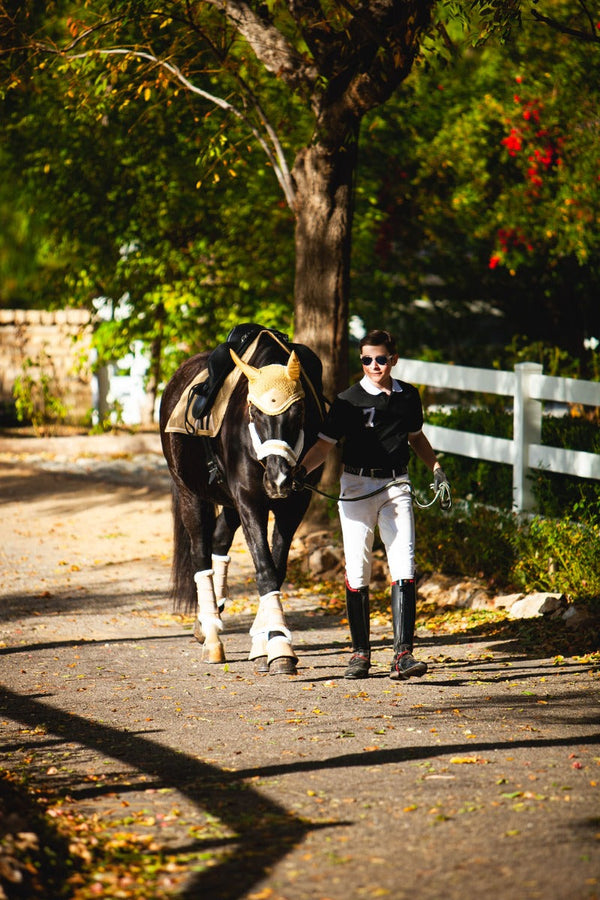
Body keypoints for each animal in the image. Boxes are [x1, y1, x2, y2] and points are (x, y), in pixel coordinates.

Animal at [158, 326, 324, 672]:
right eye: (254, 411)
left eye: (299, 411)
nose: (279, 479)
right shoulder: (250, 500)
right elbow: (265, 567)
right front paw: (280, 648)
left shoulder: (294, 505)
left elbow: (277, 567)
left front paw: (267, 640)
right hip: (191, 495)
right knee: (200, 554)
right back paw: (211, 636)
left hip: (230, 502)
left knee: (219, 540)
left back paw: (207, 624)